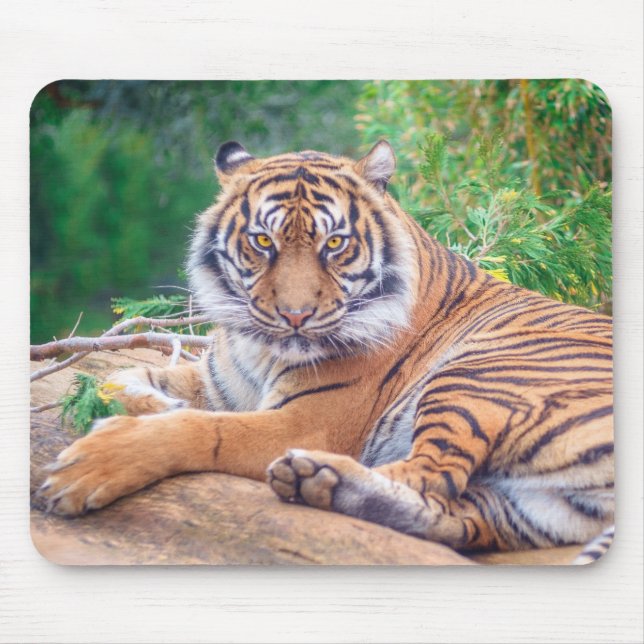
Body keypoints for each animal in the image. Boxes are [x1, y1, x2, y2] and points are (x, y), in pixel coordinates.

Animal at [37, 140, 614, 557]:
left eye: (334, 244)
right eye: (263, 241)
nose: (295, 316)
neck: (262, 348)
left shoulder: (305, 422)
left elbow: (204, 430)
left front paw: (92, 464)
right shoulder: (216, 381)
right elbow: (118, 380)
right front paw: (151, 403)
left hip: (478, 378)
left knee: (432, 475)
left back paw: (316, 473)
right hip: (531, 507)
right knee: (453, 515)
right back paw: (321, 484)